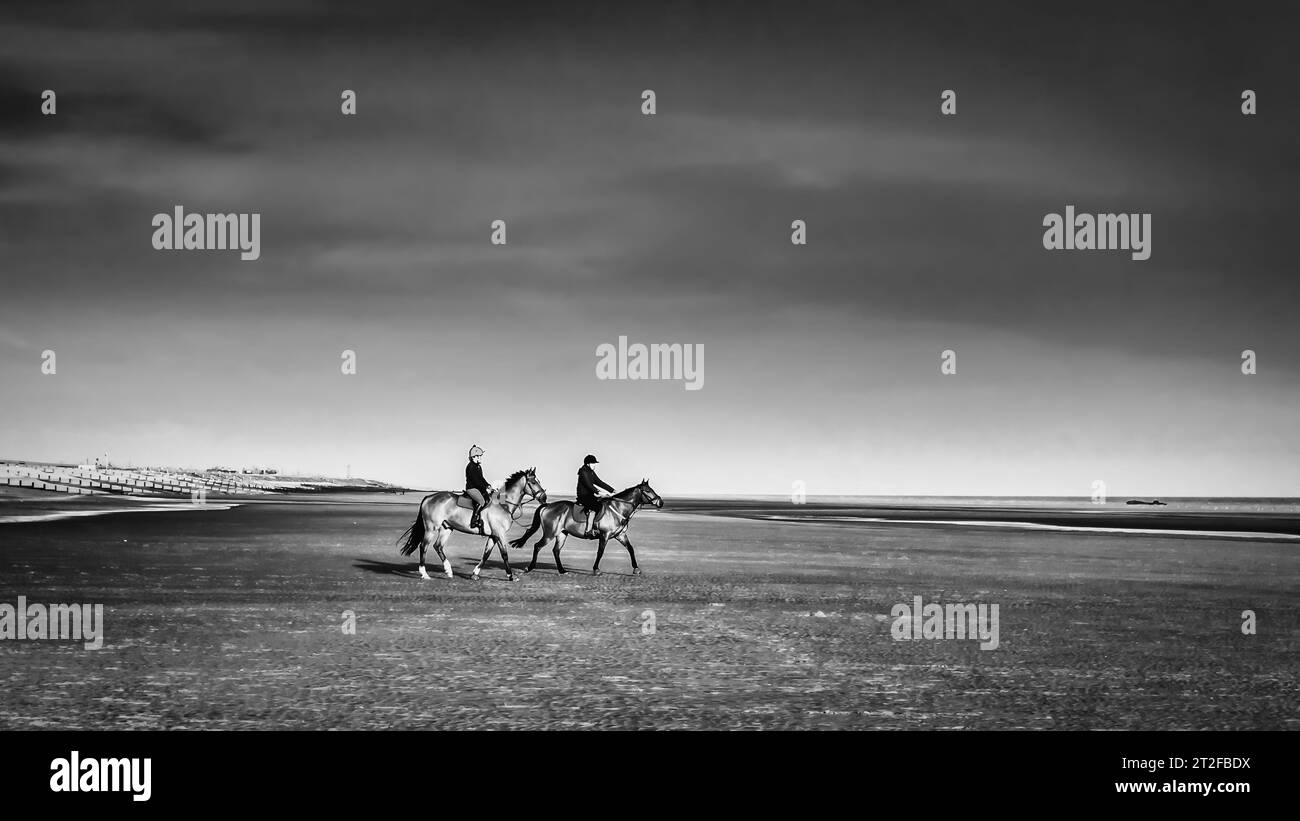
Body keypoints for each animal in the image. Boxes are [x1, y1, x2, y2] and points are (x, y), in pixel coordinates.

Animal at [390, 467, 543, 584]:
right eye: (533, 482)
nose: (544, 497)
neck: (503, 504)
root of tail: (429, 497)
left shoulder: (493, 535)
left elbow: (486, 555)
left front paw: (474, 574)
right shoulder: (499, 534)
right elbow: (504, 554)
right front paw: (511, 576)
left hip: (447, 528)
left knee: (438, 546)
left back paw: (448, 571)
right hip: (431, 528)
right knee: (424, 546)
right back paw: (424, 574)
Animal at [509, 478, 665, 574]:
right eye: (648, 491)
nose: (661, 502)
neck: (618, 508)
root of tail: (547, 506)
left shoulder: (620, 535)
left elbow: (631, 549)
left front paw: (636, 569)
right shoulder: (605, 535)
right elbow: (600, 552)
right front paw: (596, 569)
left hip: (562, 534)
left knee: (556, 550)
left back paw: (562, 570)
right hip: (550, 533)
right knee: (537, 546)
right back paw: (530, 567)